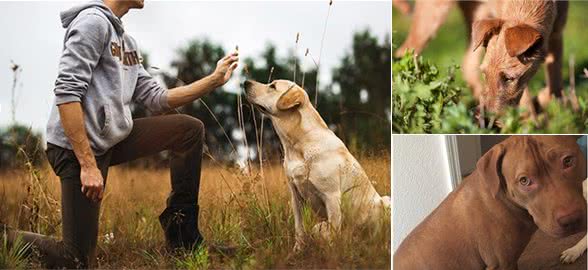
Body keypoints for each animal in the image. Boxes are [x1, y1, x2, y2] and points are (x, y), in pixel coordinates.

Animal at [243, 79, 390, 250]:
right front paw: (297, 250)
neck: (298, 144)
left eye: (272, 86)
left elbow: (334, 232)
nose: (245, 82)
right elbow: (299, 228)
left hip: (385, 202)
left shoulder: (332, 196)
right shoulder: (296, 196)